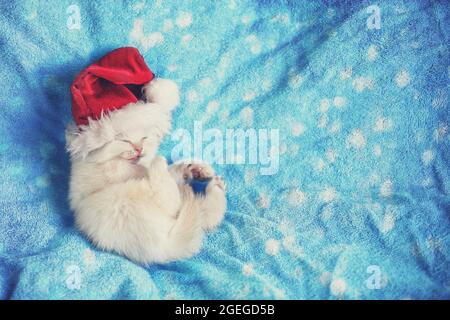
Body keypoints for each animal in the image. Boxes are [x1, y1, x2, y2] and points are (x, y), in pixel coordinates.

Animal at [65, 79, 227, 264]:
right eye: (124, 139)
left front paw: (188, 168)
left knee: (202, 213)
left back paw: (202, 175)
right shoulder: (106, 168)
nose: (138, 149)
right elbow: (126, 167)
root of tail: (164, 248)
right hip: (124, 199)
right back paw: (165, 165)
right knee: (172, 198)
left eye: (144, 137)